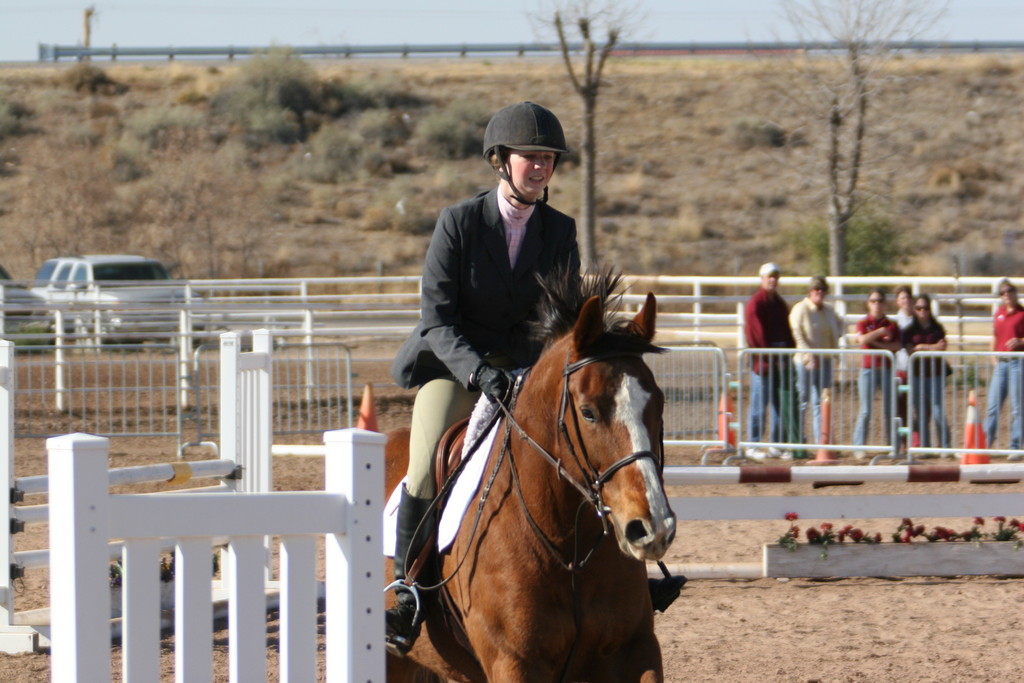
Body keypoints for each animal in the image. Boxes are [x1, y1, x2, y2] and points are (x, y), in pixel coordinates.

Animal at [385, 274, 671, 683]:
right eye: (588, 412)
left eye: (658, 403)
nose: (653, 528)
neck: (567, 548)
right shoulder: (514, 662)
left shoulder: (637, 650)